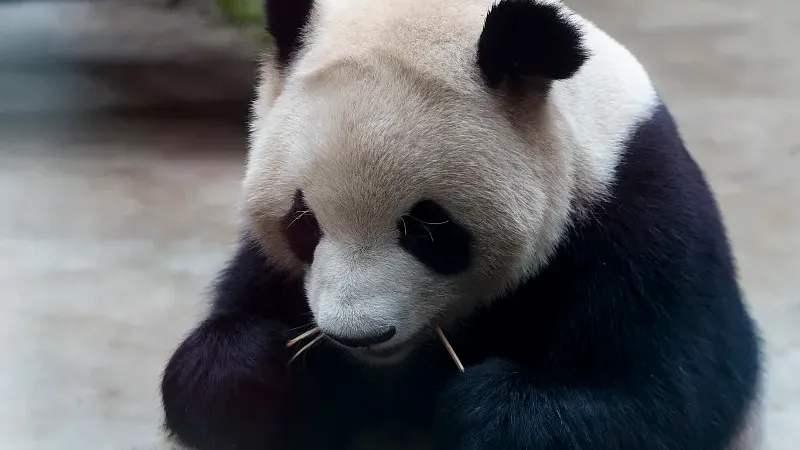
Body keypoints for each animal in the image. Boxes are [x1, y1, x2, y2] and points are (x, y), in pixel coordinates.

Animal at [160, 0, 764, 449]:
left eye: (428, 229)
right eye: (303, 221)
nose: (358, 335)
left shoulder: (635, 213)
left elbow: (659, 393)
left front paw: (486, 410)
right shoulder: (273, 270)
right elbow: (211, 380)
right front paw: (258, 373)